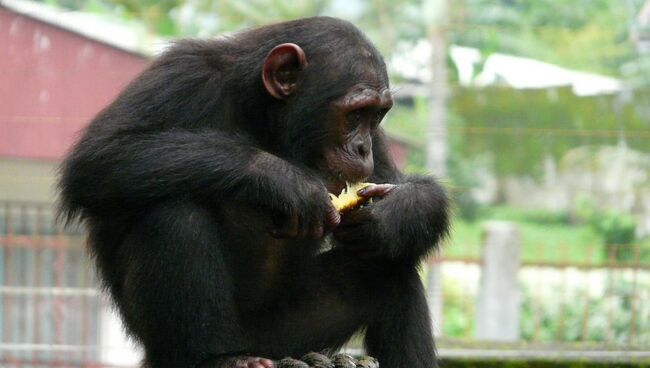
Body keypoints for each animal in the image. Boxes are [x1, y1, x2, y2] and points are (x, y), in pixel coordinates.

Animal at [58, 16, 446, 368]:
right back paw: (218, 358)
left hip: (288, 336)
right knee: (175, 214)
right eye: (355, 114)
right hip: (179, 346)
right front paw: (288, 183)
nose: (363, 148)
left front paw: (392, 214)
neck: (261, 113)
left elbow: (399, 183)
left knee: (391, 270)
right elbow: (102, 156)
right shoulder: (182, 73)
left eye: (375, 116)